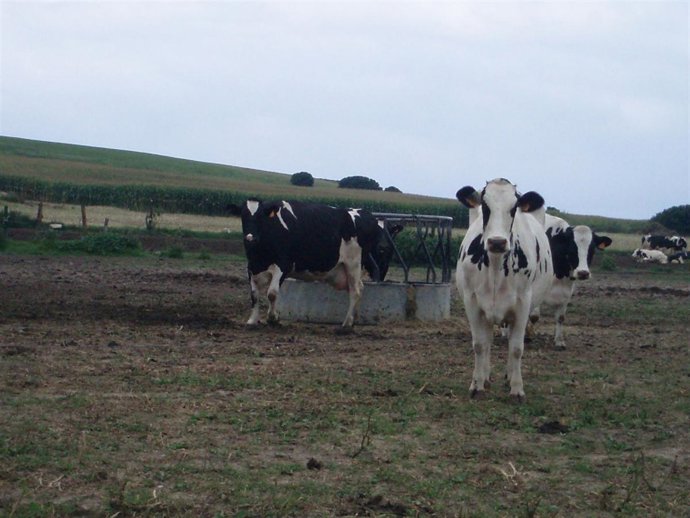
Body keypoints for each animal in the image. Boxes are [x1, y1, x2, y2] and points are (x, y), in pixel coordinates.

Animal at [229, 199, 399, 331]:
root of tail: (363, 213)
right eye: (243, 217)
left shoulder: (283, 265)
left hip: (353, 263)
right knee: (359, 288)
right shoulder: (251, 267)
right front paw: (252, 321)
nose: (250, 238)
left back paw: (345, 325)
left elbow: (272, 293)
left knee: (355, 291)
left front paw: (273, 318)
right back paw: (353, 320)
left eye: (260, 217)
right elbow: (254, 295)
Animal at [455, 178, 553, 401]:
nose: (497, 242)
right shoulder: (472, 303)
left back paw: (508, 377)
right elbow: (479, 345)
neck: (495, 266)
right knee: (487, 342)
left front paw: (517, 388)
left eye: (514, 207)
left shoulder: (523, 305)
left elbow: (516, 348)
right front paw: (477, 385)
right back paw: (486, 377)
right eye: (485, 206)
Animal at [539, 214, 612, 349]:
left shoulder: (566, 294)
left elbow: (561, 318)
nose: (583, 273)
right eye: (572, 248)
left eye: (592, 249)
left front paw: (559, 341)